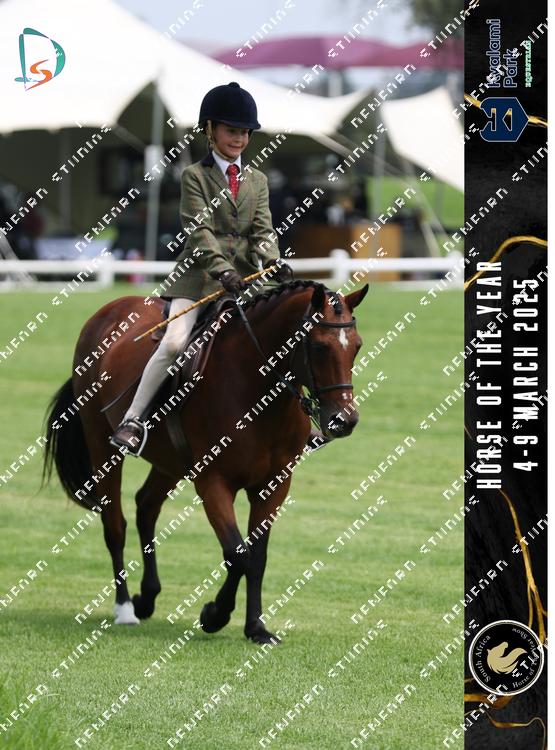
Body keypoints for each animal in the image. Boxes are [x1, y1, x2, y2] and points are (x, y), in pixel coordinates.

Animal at [42, 280, 368, 643]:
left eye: (356, 346)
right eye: (321, 347)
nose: (345, 420)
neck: (256, 391)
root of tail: (108, 310)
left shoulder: (274, 485)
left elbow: (257, 557)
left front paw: (256, 628)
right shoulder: (213, 483)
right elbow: (238, 555)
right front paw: (214, 615)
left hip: (169, 462)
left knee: (146, 507)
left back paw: (147, 597)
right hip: (103, 447)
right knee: (115, 525)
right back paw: (125, 608)